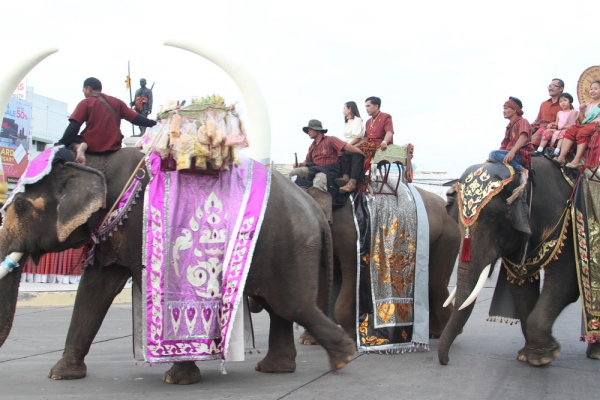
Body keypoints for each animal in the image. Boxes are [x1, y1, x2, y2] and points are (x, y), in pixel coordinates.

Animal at [0, 148, 356, 384]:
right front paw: (60, 375)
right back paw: (277, 369)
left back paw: (344, 358)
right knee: (279, 307)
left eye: (22, 206)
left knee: (291, 305)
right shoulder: (112, 232)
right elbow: (95, 289)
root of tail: (313, 206)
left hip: (290, 247)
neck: (97, 164)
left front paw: (178, 379)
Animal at [302, 182, 462, 344]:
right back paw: (432, 333)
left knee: (435, 283)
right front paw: (308, 340)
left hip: (447, 240)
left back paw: (439, 333)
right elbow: (321, 279)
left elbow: (352, 274)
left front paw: (351, 339)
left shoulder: (351, 239)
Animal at [436, 158, 600, 368]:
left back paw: (595, 353)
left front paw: (544, 355)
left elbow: (567, 281)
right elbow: (521, 285)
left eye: (491, 217)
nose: (446, 361)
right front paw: (529, 355)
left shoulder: (564, 222)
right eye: (456, 220)